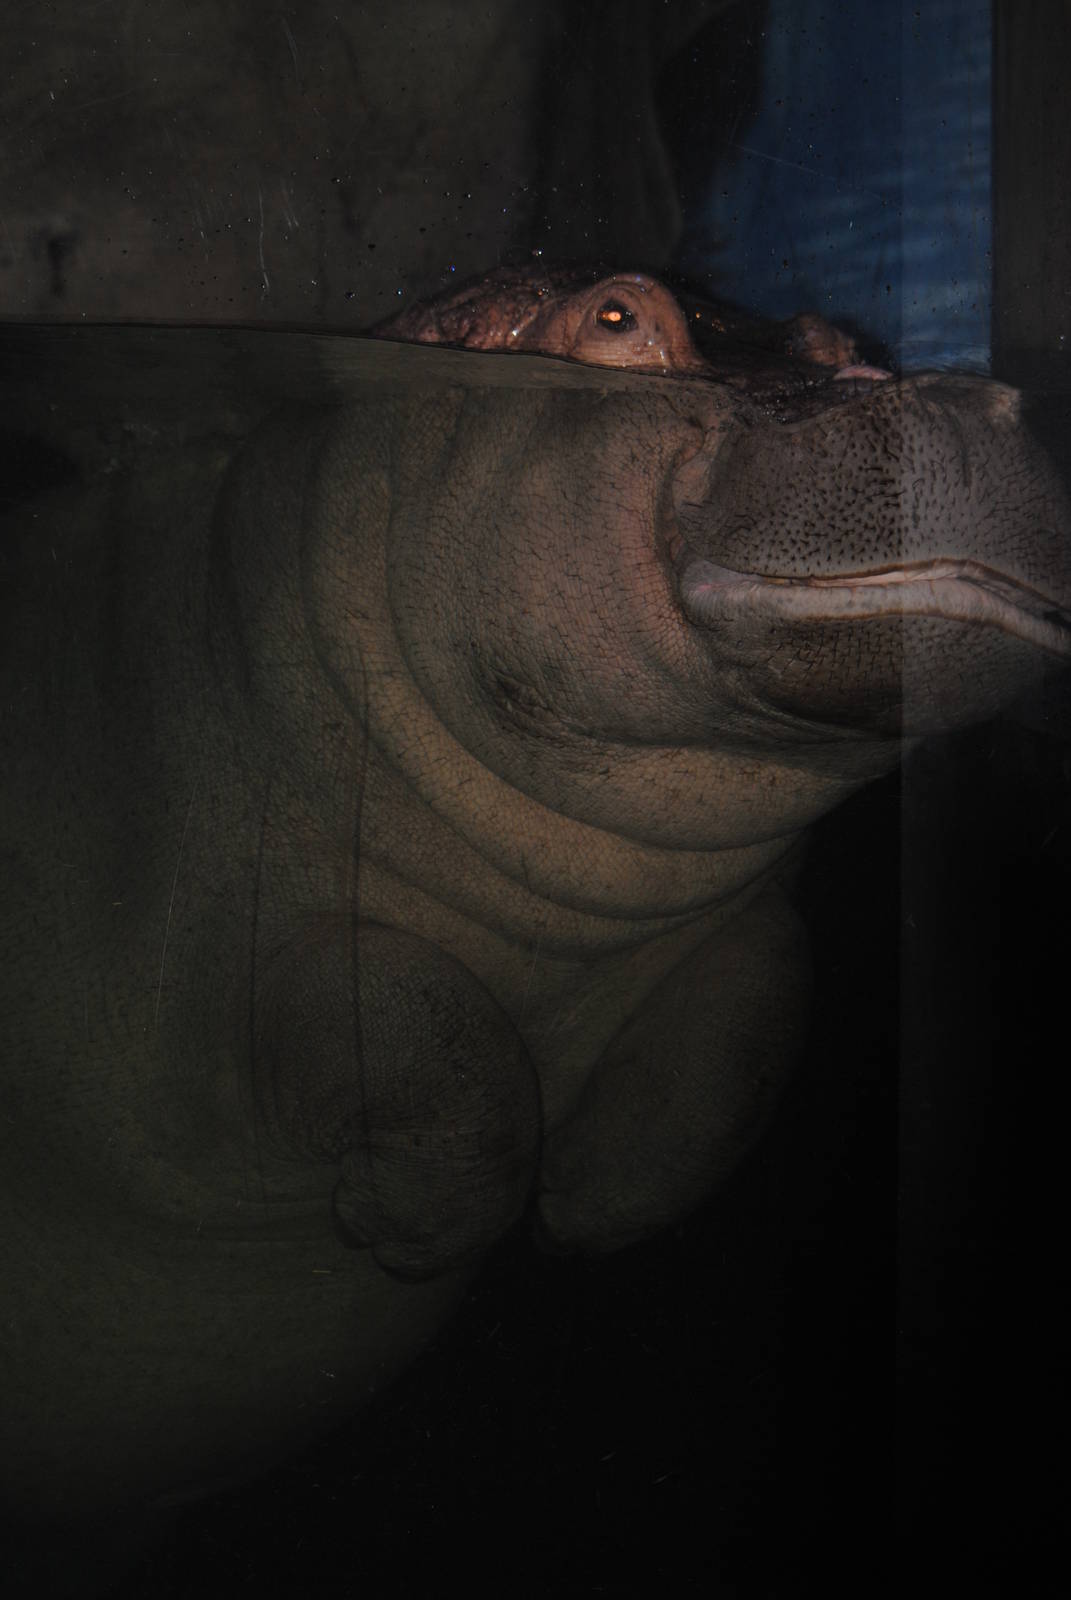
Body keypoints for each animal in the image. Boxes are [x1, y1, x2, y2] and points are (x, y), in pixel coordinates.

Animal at [1, 266, 1069, 1573]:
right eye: (614, 320)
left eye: (842, 335)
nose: (963, 400)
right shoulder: (217, 950)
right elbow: (435, 1034)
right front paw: (408, 1231)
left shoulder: (736, 916)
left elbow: (756, 1011)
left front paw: (587, 1214)